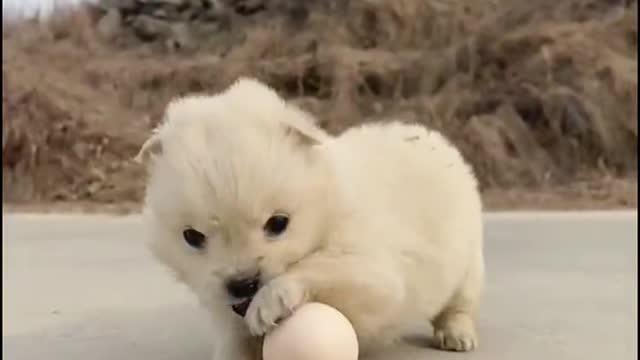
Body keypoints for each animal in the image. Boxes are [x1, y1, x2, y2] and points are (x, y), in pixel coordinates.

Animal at [136, 77, 484, 358]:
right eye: (192, 237)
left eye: (278, 224)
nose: (243, 283)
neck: (328, 202)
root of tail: (429, 135)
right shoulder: (222, 306)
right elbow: (235, 338)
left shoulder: (374, 274)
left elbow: (318, 267)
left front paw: (269, 300)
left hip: (468, 261)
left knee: (459, 303)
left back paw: (456, 334)